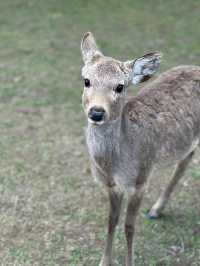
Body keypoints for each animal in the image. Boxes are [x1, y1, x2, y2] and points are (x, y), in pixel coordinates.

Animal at [80, 31, 200, 266]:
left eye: (120, 86)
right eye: (86, 80)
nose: (96, 112)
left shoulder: (141, 179)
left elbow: (129, 226)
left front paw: (129, 261)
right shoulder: (112, 185)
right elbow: (111, 221)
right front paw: (104, 261)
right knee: (185, 159)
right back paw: (155, 210)